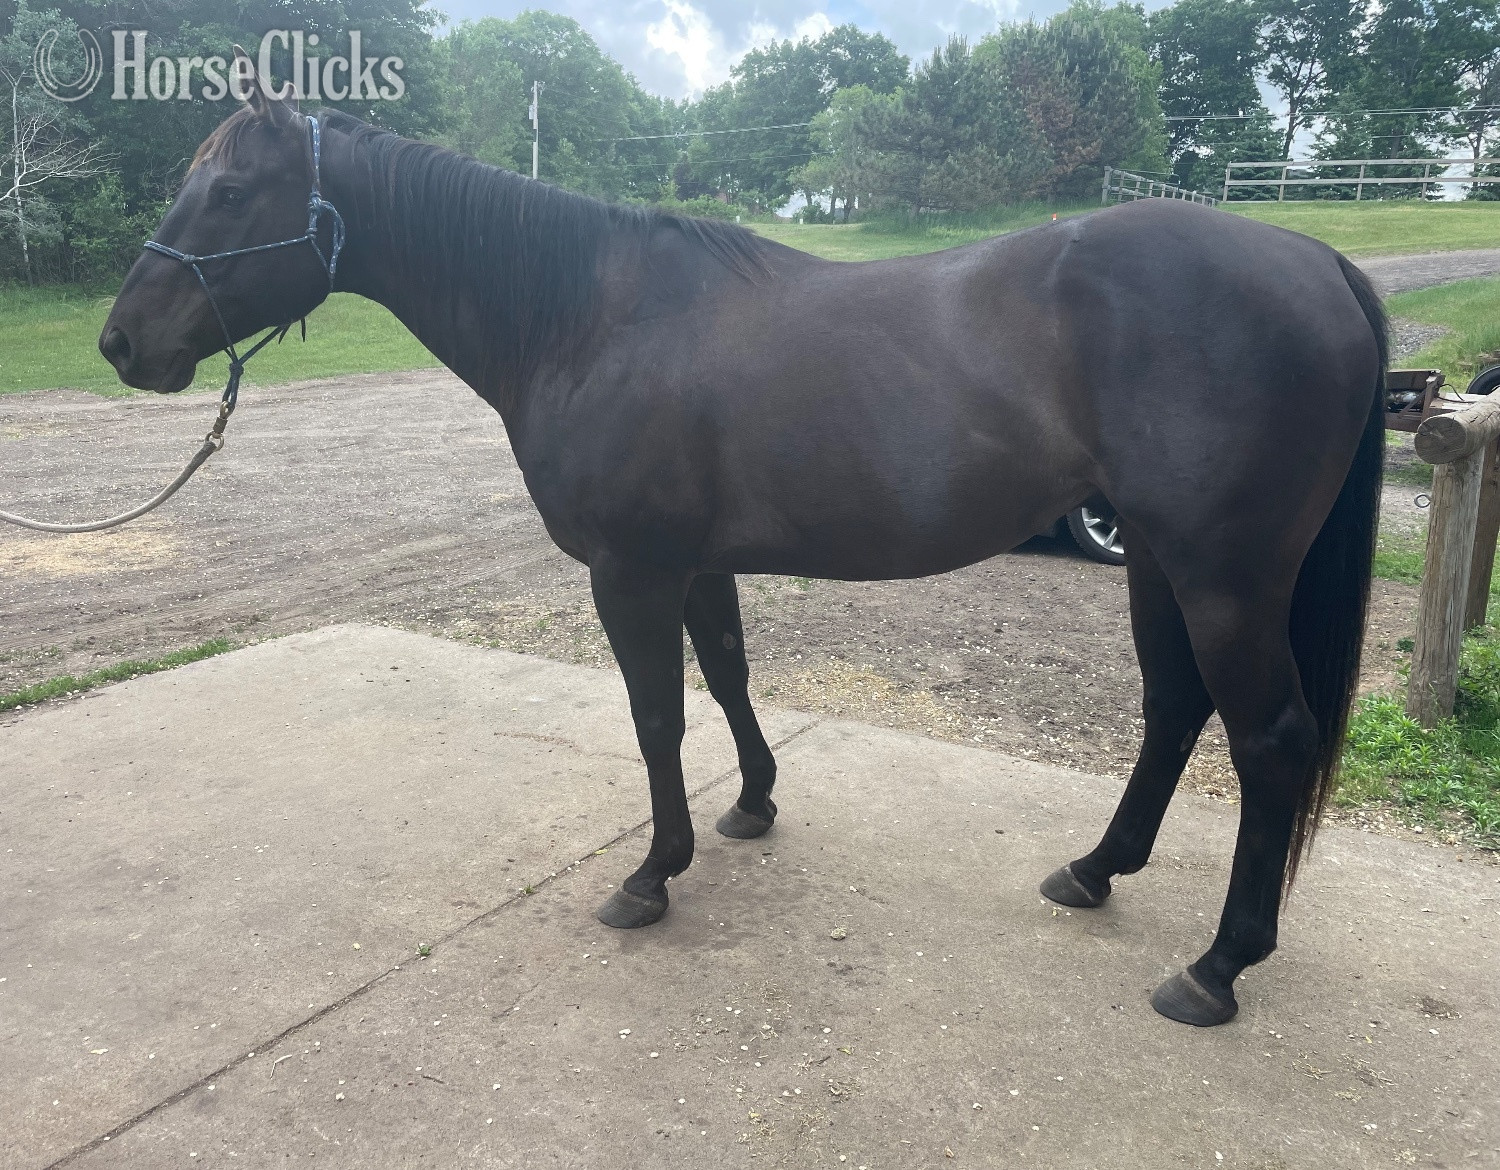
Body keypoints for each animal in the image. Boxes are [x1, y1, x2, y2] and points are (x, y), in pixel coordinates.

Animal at [99, 59, 1386, 1028]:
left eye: (229, 194)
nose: (120, 343)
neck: (589, 316)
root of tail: (1317, 261)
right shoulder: (698, 562)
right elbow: (726, 677)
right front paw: (755, 805)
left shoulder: (632, 571)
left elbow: (656, 716)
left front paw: (650, 876)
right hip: (1163, 565)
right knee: (1174, 711)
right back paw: (1093, 870)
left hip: (1223, 577)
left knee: (1268, 739)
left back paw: (1217, 968)